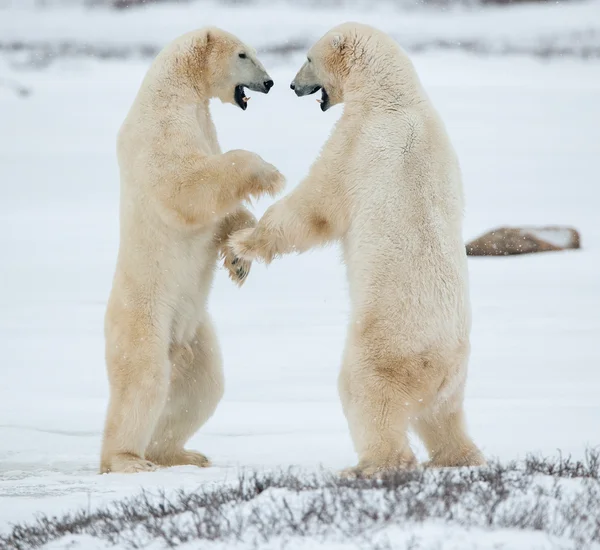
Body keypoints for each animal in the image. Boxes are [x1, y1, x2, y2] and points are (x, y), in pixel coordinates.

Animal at [99, 27, 284, 474]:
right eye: (244, 54)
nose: (270, 82)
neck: (176, 86)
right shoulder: (163, 125)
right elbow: (185, 183)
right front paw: (268, 172)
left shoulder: (201, 121)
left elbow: (219, 213)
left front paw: (238, 258)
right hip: (146, 316)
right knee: (143, 380)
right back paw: (128, 460)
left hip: (195, 332)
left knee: (201, 387)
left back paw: (182, 454)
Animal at [232, 22, 486, 478]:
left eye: (308, 58)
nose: (292, 85)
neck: (394, 95)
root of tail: (437, 365)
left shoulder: (356, 139)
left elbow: (316, 206)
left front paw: (243, 244)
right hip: (454, 378)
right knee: (444, 415)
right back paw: (460, 455)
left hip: (384, 350)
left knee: (367, 396)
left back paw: (370, 465)